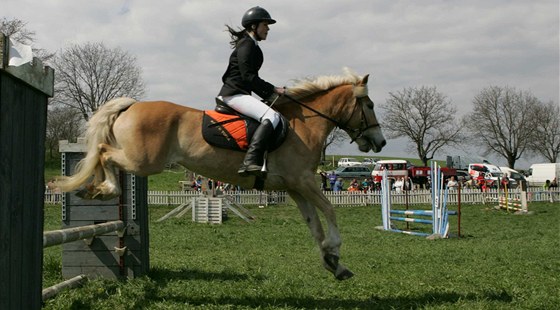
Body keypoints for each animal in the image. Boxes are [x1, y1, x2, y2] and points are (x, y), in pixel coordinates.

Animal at [59, 70, 388, 280]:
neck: (303, 125)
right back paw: (103, 188)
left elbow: (315, 226)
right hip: (142, 162)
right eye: (370, 105)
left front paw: (334, 264)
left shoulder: (296, 188)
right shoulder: (305, 181)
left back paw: (96, 189)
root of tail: (132, 105)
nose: (380, 142)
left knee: (104, 152)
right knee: (103, 151)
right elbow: (331, 211)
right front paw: (334, 250)